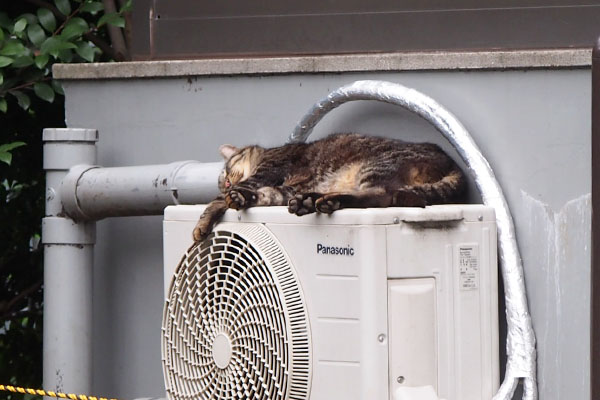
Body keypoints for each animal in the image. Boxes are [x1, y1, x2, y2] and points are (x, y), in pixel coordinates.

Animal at [195, 133, 466, 242]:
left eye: (227, 170)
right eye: (223, 178)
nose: (227, 184)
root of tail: (452, 162)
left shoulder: (268, 170)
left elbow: (220, 198)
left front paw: (207, 217)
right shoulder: (285, 189)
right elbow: (265, 195)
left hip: (373, 166)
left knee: (381, 195)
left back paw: (325, 200)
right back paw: (310, 201)